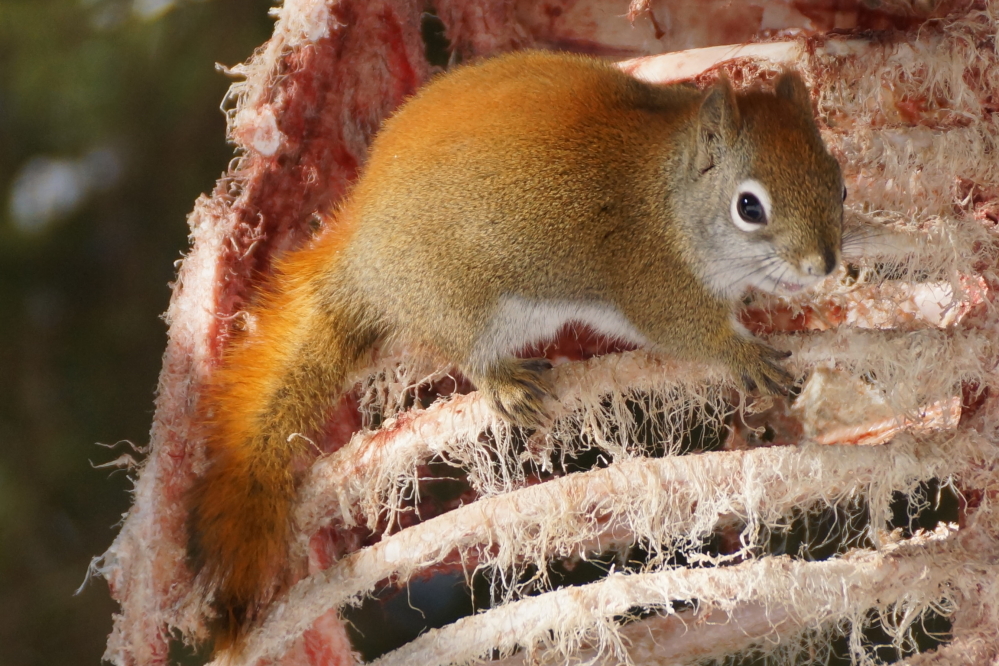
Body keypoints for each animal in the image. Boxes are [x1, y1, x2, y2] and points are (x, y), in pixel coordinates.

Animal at [186, 50, 844, 649]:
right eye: (748, 207)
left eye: (837, 182)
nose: (824, 265)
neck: (670, 195)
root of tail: (365, 261)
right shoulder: (651, 282)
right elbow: (689, 331)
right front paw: (743, 355)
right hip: (461, 303)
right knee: (467, 350)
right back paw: (502, 382)